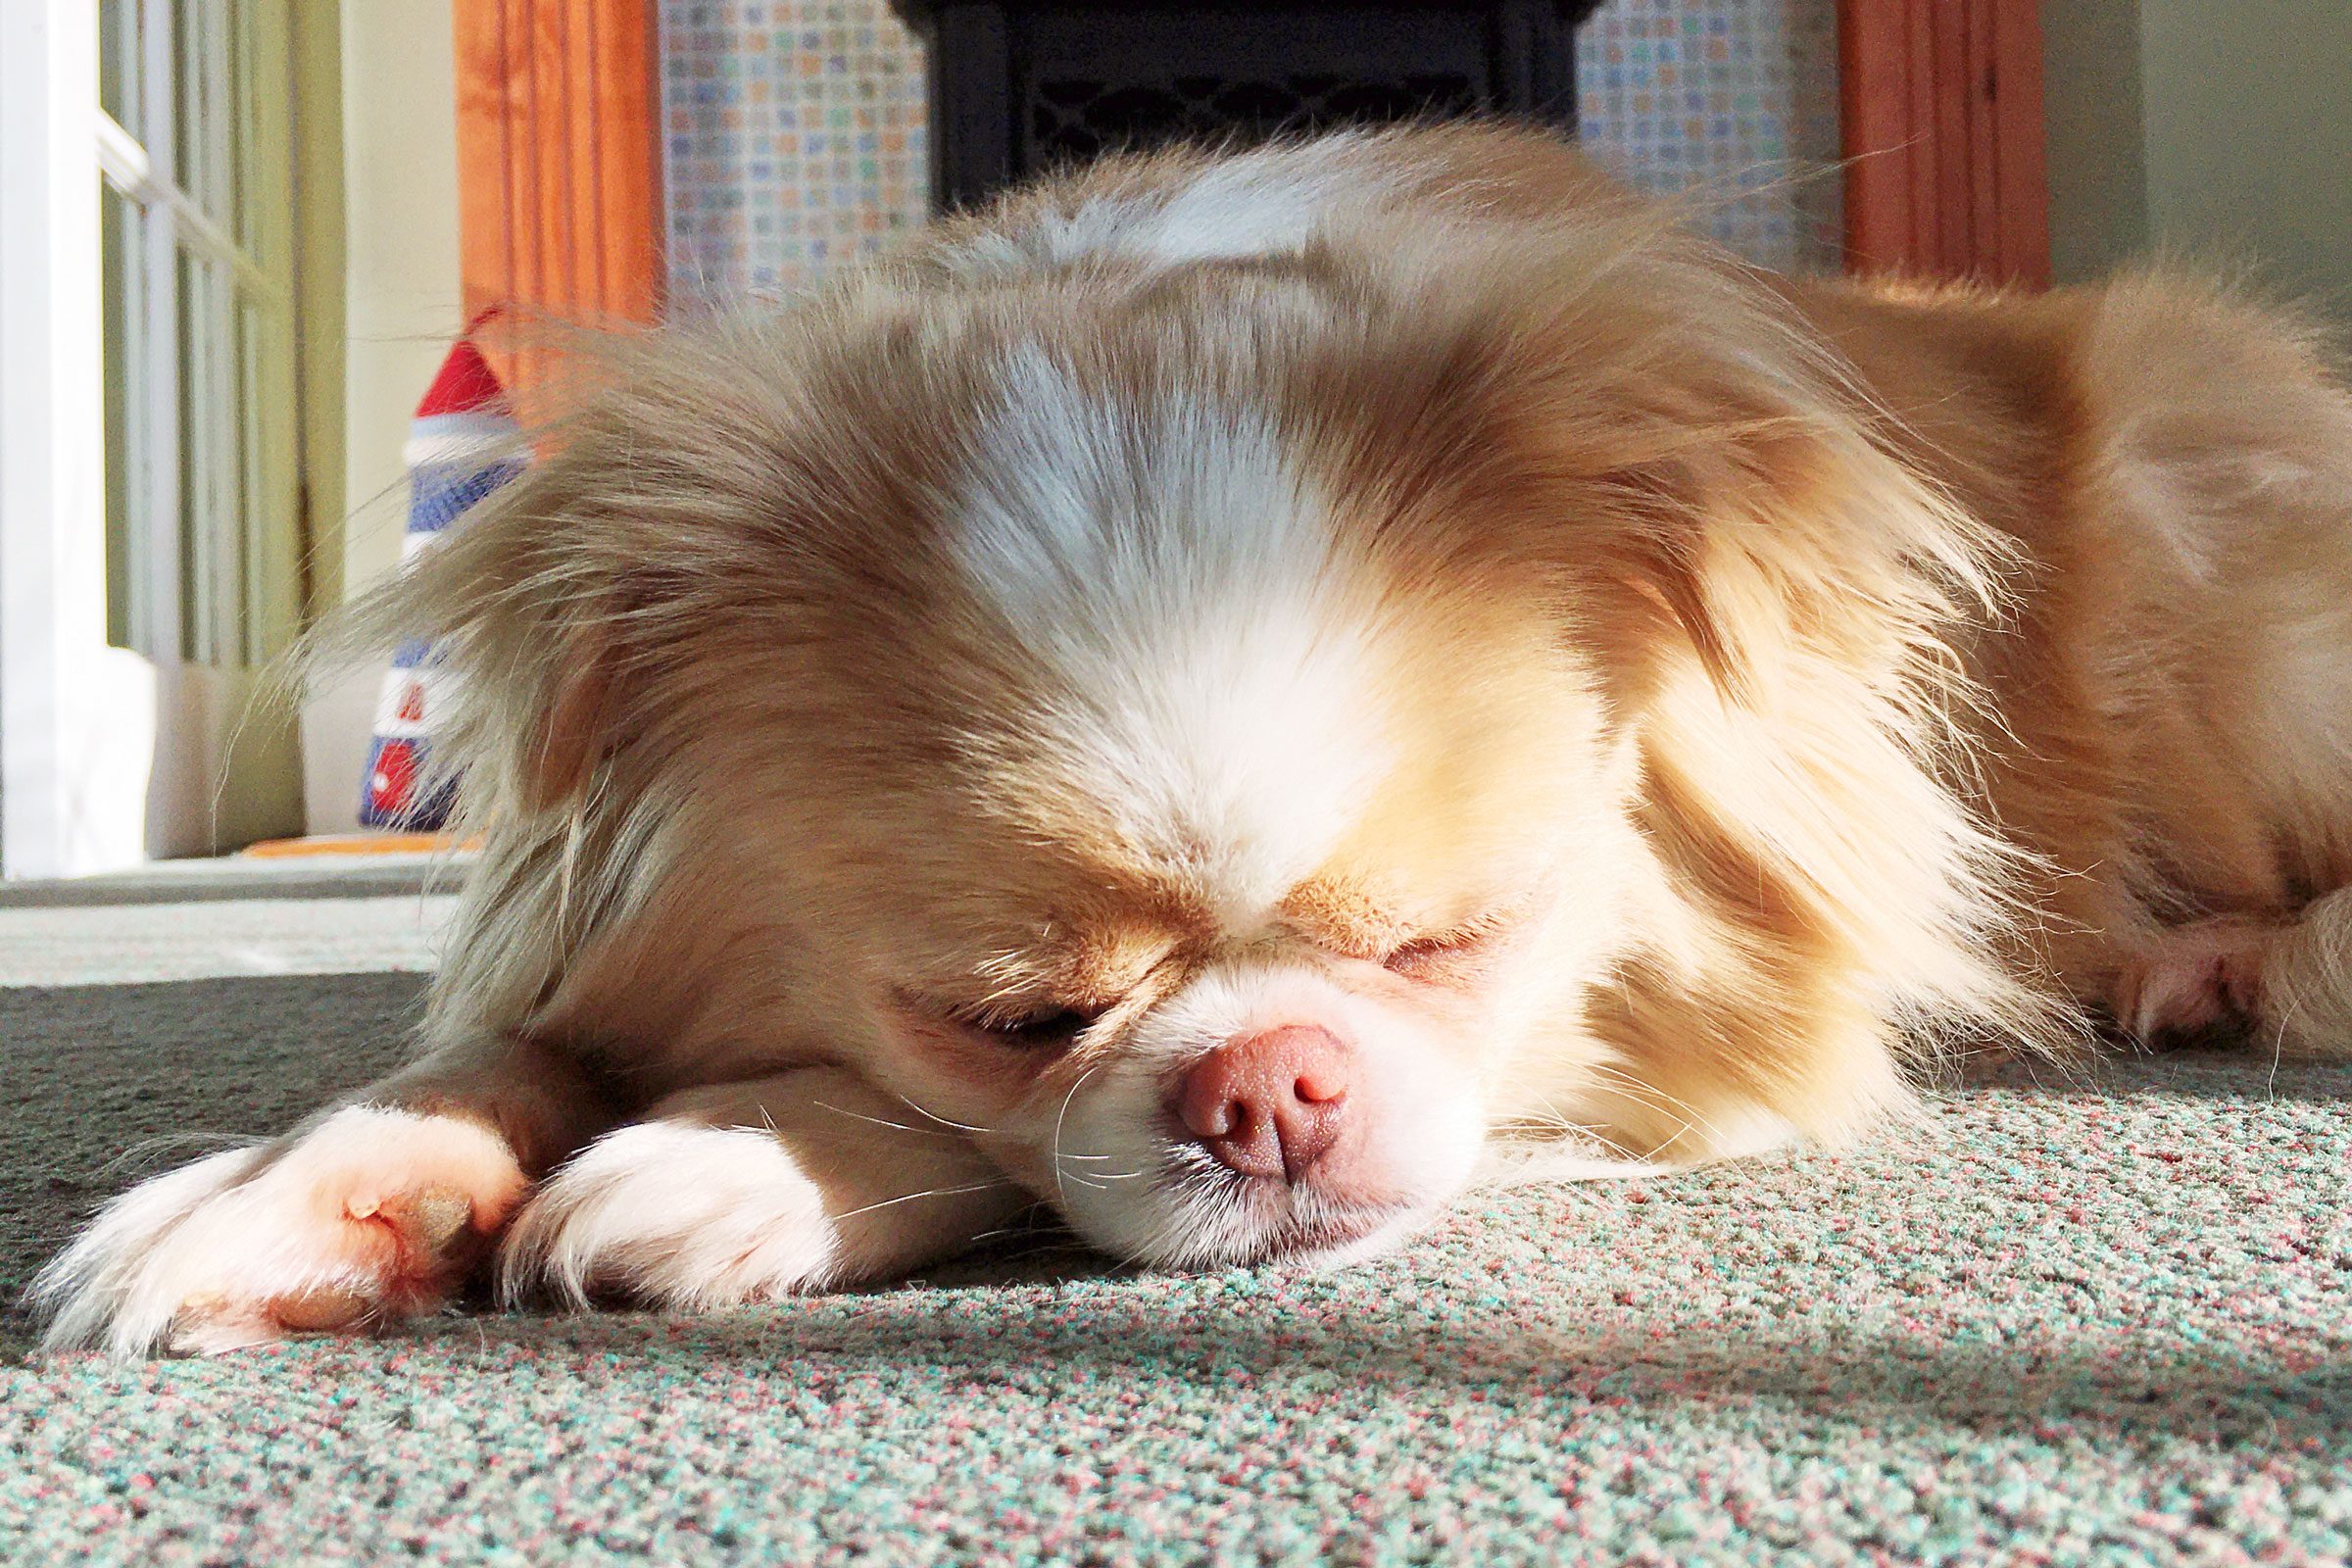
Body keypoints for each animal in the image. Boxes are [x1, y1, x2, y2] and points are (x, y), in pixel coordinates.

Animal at [31, 122, 2352, 1353]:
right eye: (1015, 1015)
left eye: (1449, 946)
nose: (1273, 1086)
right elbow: (484, 1059)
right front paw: (298, 1194)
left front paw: (719, 1158)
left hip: (2203, 553)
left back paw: (2224, 961)